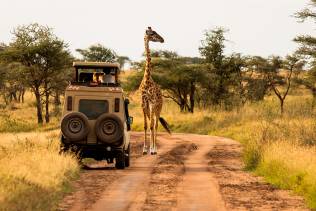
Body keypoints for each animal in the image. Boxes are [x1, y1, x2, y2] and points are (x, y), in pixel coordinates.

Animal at [139, 26, 172, 155]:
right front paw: (144, 149)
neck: (147, 80)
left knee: (156, 124)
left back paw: (155, 149)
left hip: (158, 108)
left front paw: (152, 149)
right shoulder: (144, 104)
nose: (162, 39)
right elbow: (145, 125)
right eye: (152, 33)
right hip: (150, 109)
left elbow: (152, 126)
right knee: (152, 123)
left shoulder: (152, 103)